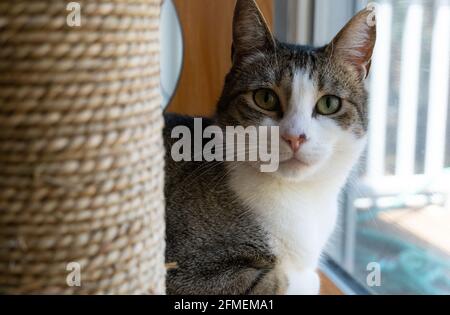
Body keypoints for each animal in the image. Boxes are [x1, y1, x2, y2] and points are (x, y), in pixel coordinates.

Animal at [164, 0, 376, 296]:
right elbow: (280, 280)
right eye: (265, 98)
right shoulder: (183, 268)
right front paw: (303, 278)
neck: (299, 197)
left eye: (329, 104)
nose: (295, 137)